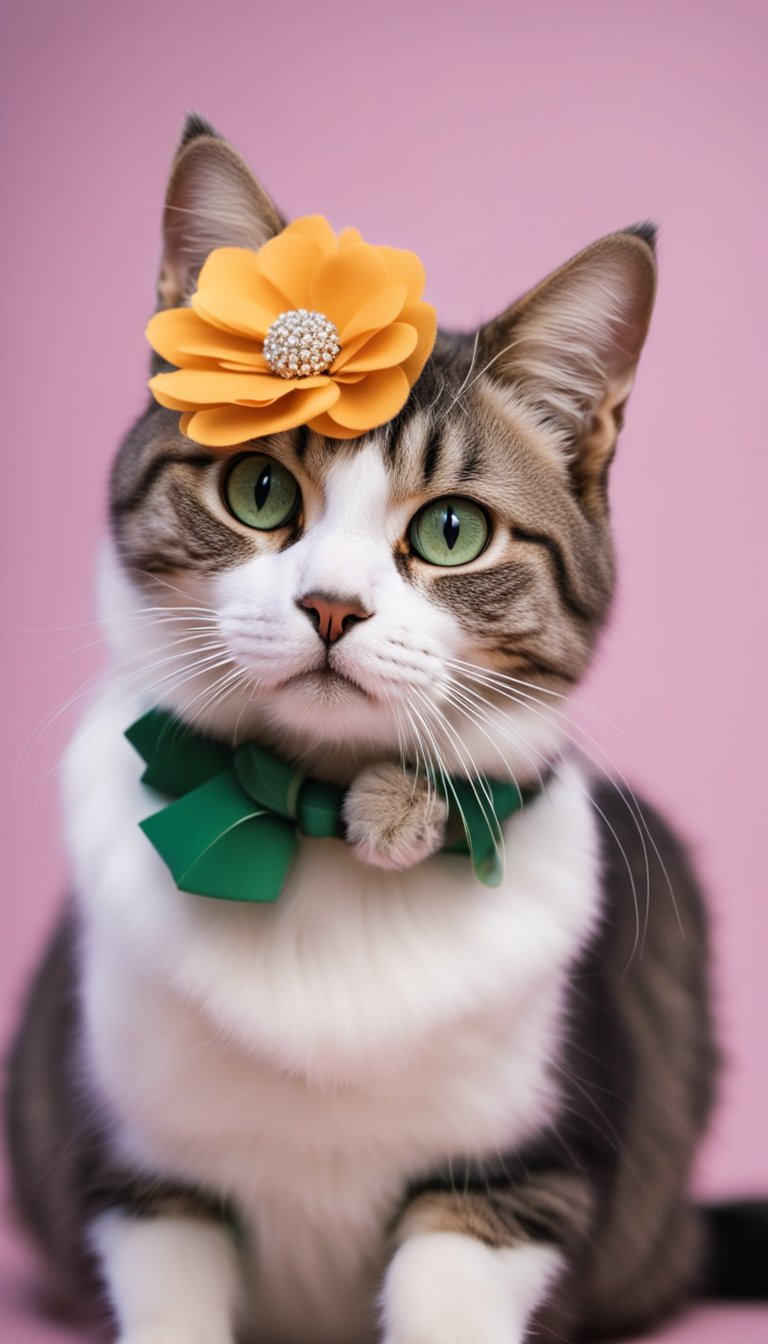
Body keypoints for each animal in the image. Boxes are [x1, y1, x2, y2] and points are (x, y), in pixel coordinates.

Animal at [7, 115, 763, 1344]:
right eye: (260, 491)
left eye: (452, 531)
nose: (330, 607)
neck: (314, 826)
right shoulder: (141, 1175)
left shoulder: (512, 1179)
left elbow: (454, 1291)